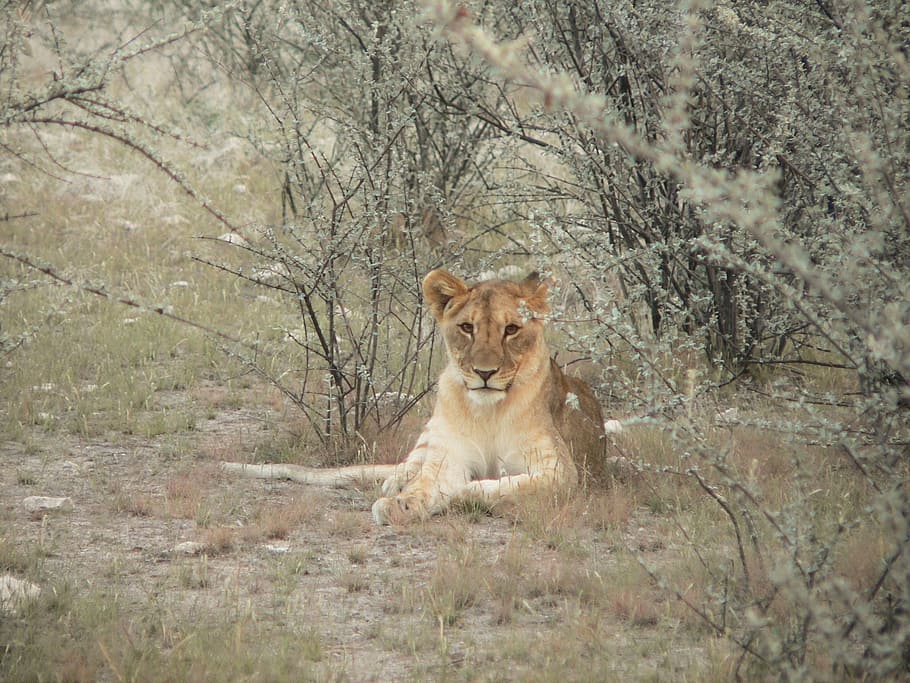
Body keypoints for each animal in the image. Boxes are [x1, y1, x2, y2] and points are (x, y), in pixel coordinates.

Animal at [222, 269, 606, 524]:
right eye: (467, 327)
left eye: (511, 329)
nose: (484, 373)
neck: (488, 411)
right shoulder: (448, 456)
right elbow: (427, 483)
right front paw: (400, 503)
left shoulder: (559, 471)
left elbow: (498, 485)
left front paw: (465, 492)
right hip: (431, 432)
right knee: (407, 465)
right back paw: (394, 482)